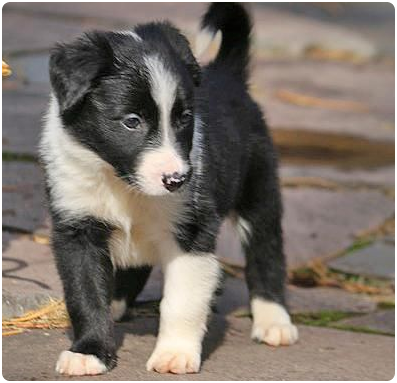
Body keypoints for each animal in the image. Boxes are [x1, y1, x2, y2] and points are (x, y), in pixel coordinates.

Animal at [41, 0, 296, 378]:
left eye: (184, 118)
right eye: (131, 121)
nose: (177, 180)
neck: (121, 183)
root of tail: (228, 73)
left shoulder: (192, 231)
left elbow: (181, 300)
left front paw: (175, 354)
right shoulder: (77, 226)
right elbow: (85, 292)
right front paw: (90, 352)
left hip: (259, 189)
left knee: (266, 251)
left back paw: (273, 321)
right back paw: (116, 306)